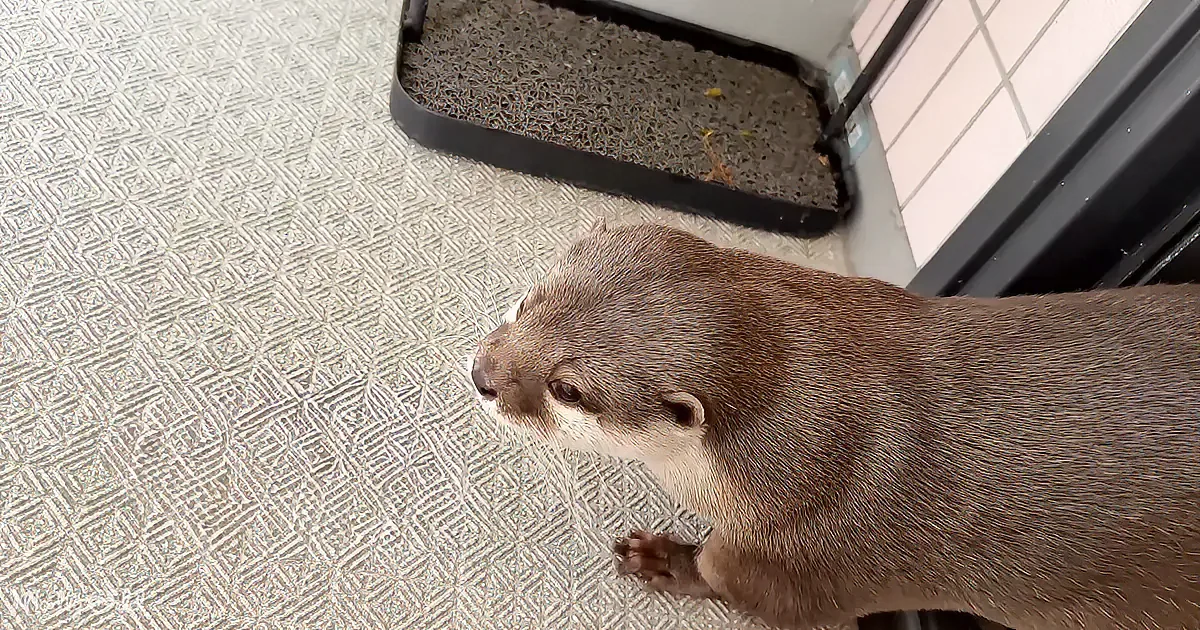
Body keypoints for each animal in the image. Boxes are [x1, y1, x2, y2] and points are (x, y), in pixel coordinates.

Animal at [469, 221, 1200, 630]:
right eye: (527, 302)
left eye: (568, 389)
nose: (483, 376)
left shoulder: (817, 551)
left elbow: (747, 582)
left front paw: (666, 561)